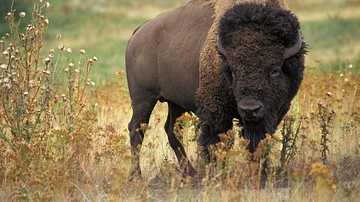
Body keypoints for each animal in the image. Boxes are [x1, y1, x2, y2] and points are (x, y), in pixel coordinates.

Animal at [125, 0, 306, 177]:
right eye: (232, 70)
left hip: (175, 102)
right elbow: (215, 143)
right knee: (136, 129)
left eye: (275, 70)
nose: (249, 109)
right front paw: (216, 173)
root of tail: (140, 31)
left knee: (171, 130)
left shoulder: (274, 112)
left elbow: (257, 142)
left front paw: (260, 173)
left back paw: (190, 174)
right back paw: (136, 176)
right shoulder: (215, 112)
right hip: (143, 98)